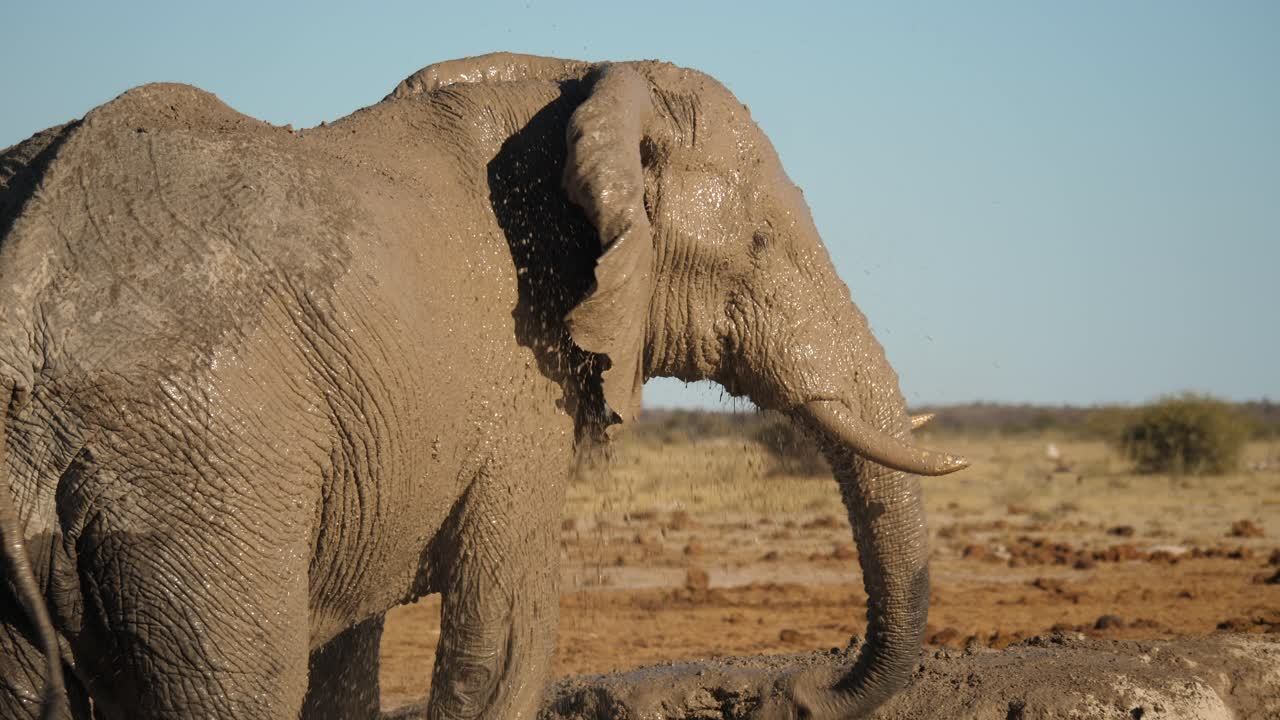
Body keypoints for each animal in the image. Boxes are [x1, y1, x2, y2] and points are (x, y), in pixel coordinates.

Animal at [0, 52, 967, 719]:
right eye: (760, 245)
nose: (798, 688)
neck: (577, 83)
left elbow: (348, 660)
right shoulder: (517, 376)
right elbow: (503, 638)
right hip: (206, 478)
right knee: (243, 681)